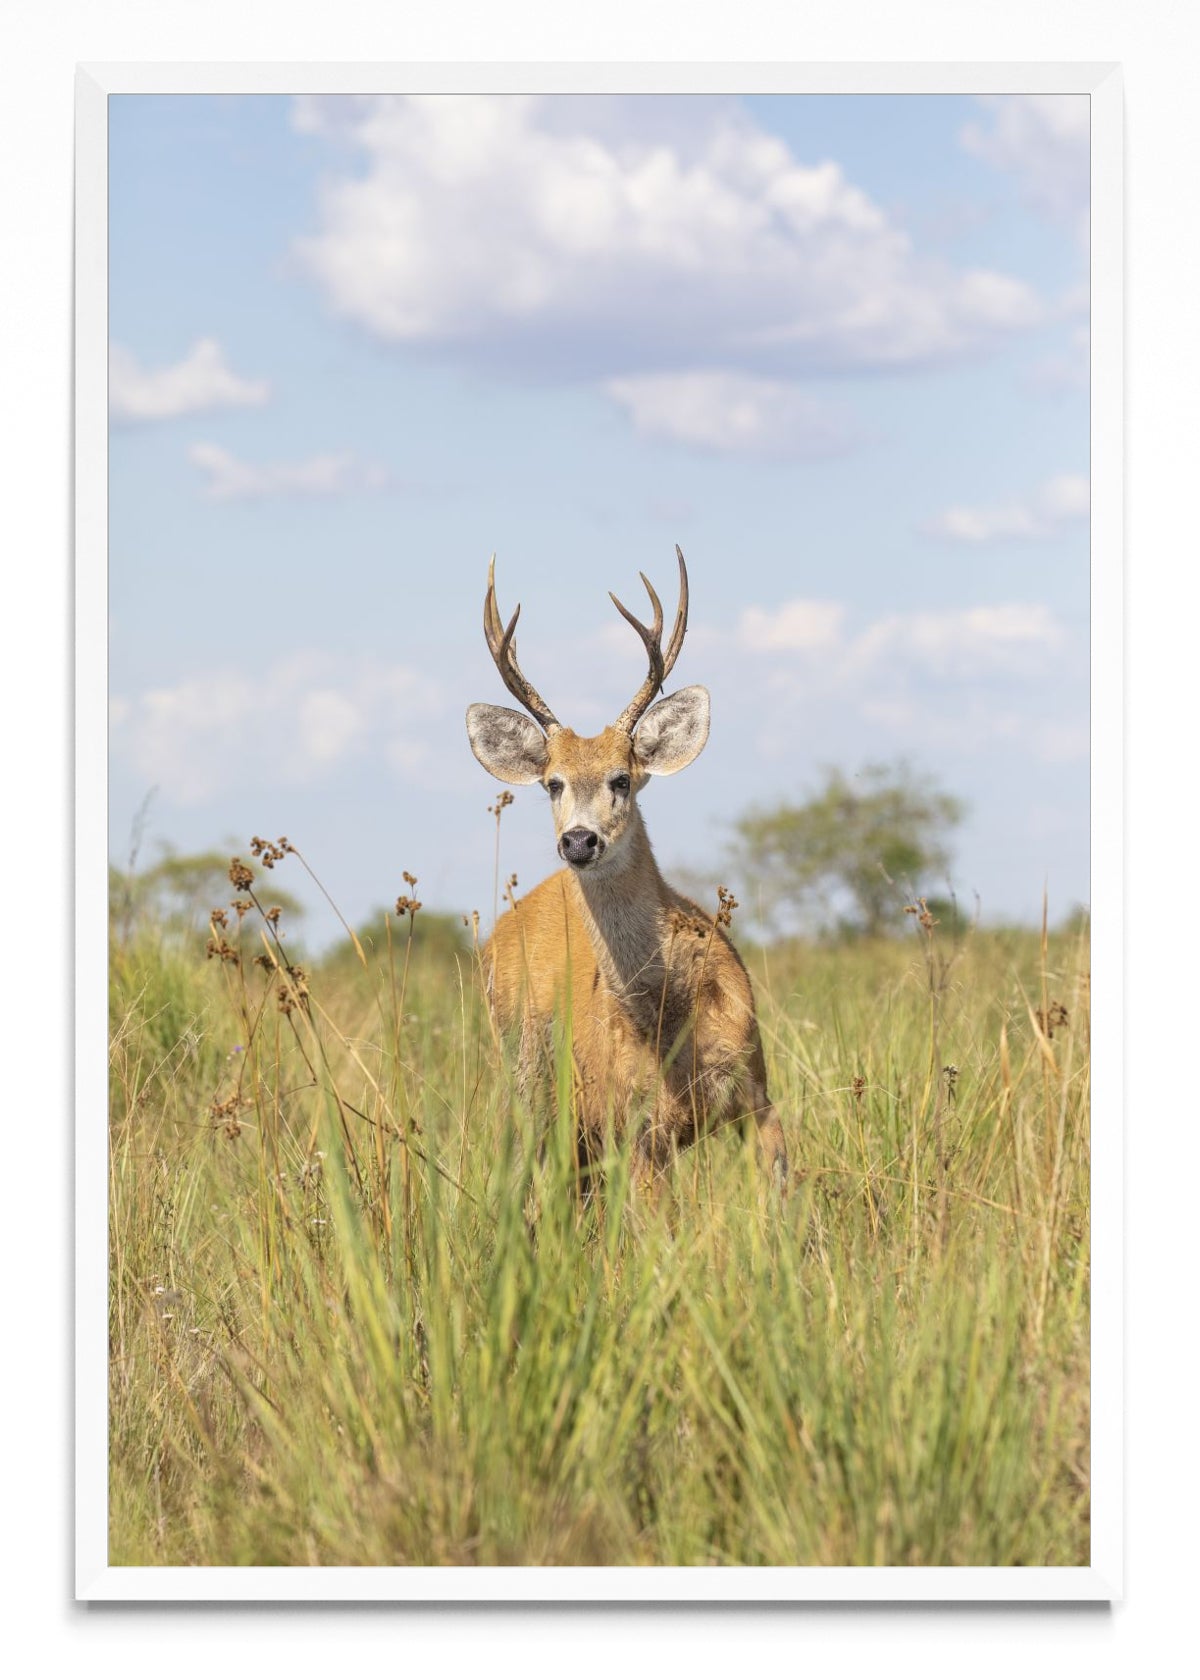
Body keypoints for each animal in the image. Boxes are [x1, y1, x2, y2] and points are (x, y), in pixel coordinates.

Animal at [465, 546, 788, 1200]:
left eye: (622, 778)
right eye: (552, 783)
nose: (579, 840)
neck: (669, 1018)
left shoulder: (757, 1091)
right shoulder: (634, 1128)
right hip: (524, 1084)